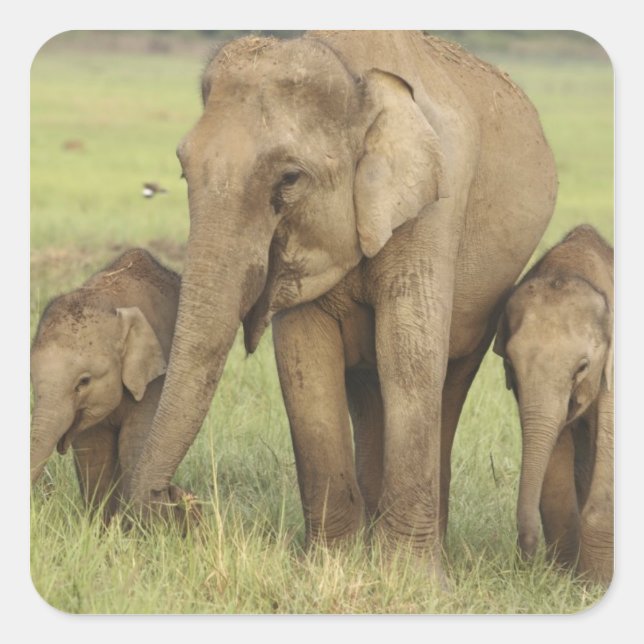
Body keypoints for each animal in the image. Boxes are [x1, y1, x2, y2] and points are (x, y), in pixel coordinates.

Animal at [30, 248, 194, 522]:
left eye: (83, 382)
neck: (110, 301)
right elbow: (93, 452)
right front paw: (100, 527)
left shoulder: (155, 380)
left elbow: (135, 443)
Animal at [126, 30, 557, 580]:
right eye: (183, 170)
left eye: (289, 179)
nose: (179, 501)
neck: (354, 75)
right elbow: (304, 362)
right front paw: (326, 568)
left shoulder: (436, 207)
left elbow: (409, 357)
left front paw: (411, 582)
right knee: (368, 390)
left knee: (449, 377)